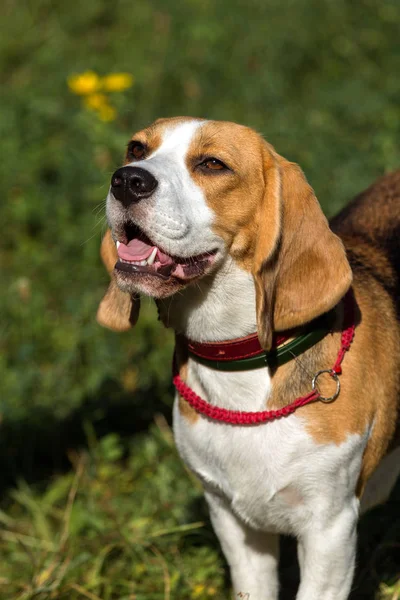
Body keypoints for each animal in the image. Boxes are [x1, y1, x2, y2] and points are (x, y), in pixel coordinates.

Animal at [97, 118, 400, 600]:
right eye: (136, 149)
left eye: (212, 164)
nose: (126, 180)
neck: (241, 368)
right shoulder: (232, 520)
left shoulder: (330, 531)